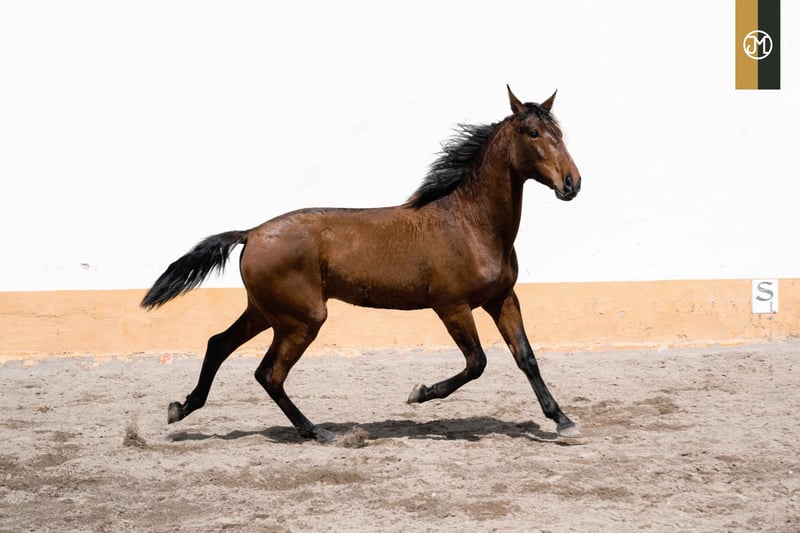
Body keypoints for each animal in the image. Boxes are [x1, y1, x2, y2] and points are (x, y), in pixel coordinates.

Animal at [142, 86, 583, 442]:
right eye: (533, 133)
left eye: (560, 133)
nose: (571, 183)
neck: (469, 224)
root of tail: (251, 233)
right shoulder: (452, 306)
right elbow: (477, 362)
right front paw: (419, 393)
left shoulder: (502, 298)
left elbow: (526, 357)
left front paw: (563, 420)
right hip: (301, 319)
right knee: (268, 373)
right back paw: (316, 432)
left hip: (267, 312)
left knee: (219, 344)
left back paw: (181, 408)